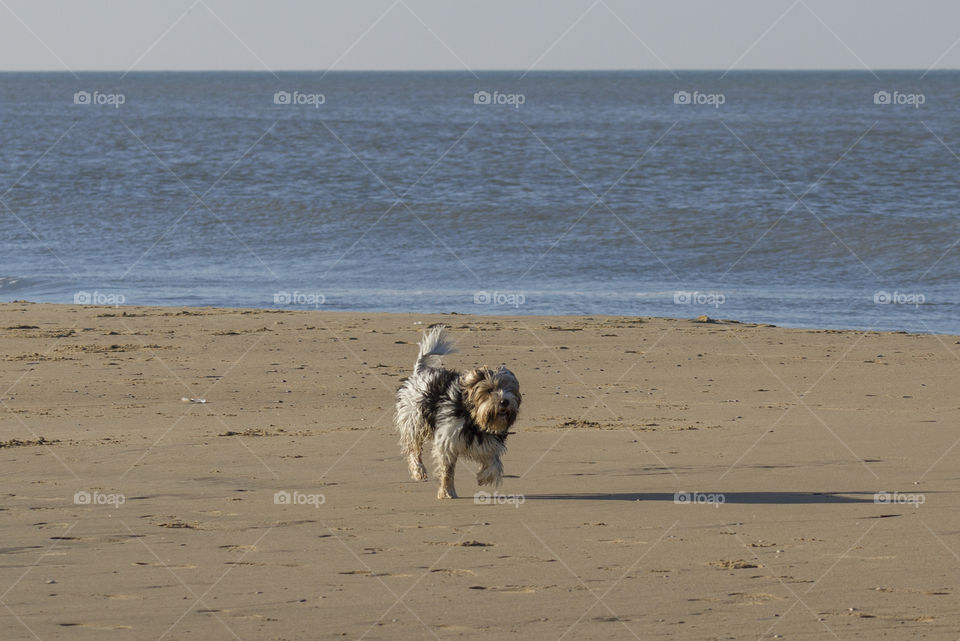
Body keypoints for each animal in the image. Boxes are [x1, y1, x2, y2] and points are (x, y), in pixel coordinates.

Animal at [394, 324, 520, 500]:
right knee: (413, 448)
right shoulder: (447, 441)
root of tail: (420, 373)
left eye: (510, 390)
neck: (473, 419)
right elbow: (447, 471)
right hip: (414, 420)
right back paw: (418, 470)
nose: (505, 401)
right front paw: (447, 491)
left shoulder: (488, 443)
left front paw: (483, 477)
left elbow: (494, 464)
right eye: (489, 390)